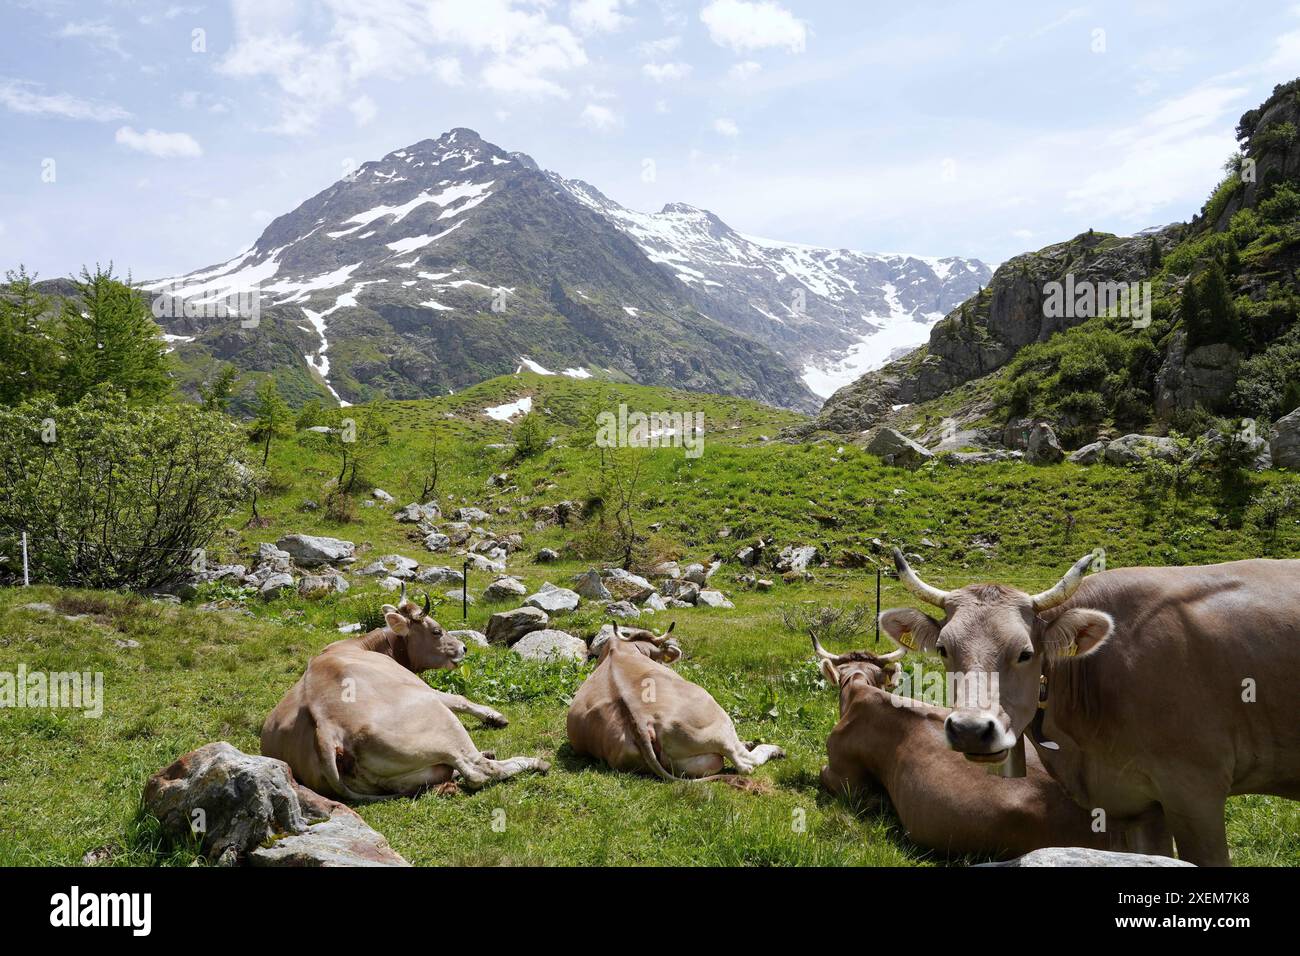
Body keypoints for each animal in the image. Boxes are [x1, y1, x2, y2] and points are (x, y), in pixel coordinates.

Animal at [262, 590, 549, 800]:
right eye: (436, 630)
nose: (464, 648)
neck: (361, 646)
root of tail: (326, 728)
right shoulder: (425, 689)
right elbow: (459, 699)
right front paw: (495, 716)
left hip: (395, 777)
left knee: (445, 772)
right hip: (442, 723)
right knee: (478, 771)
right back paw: (534, 762)